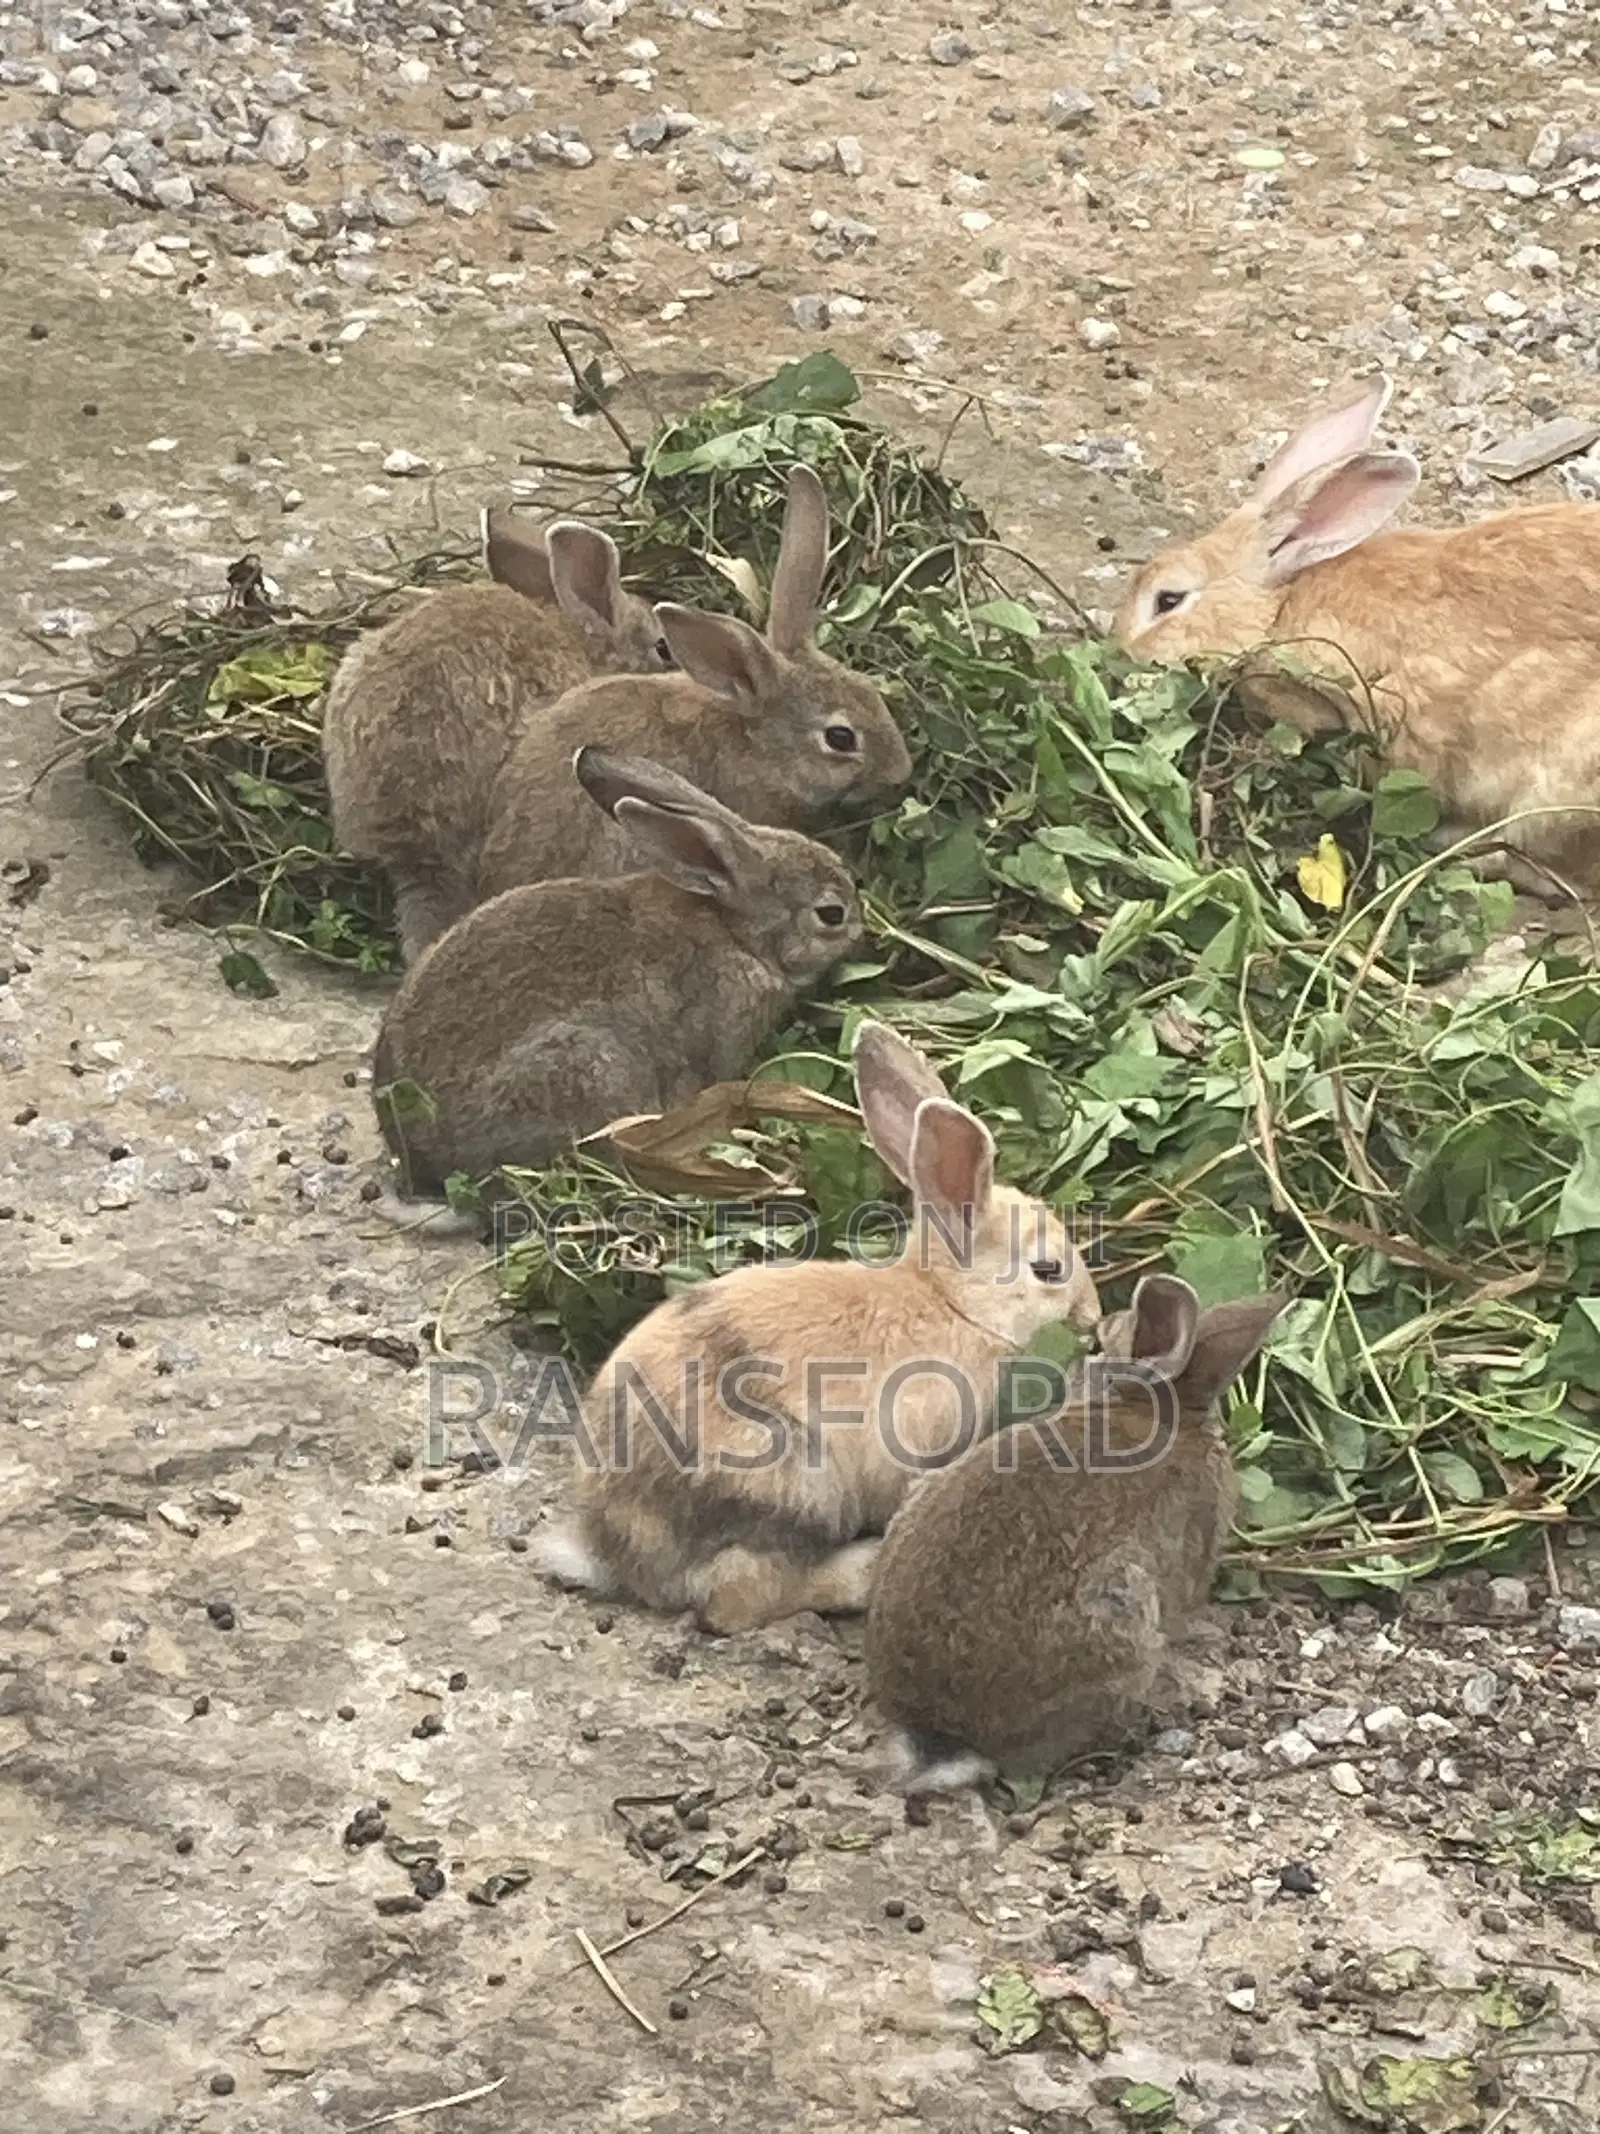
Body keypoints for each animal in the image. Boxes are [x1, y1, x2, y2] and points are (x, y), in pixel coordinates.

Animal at [531, 1019, 1104, 1635]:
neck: (955, 1305)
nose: (1093, 1317)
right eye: (1048, 1270)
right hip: (793, 1483)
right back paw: (863, 1570)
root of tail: (617, 1552)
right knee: (738, 1599)